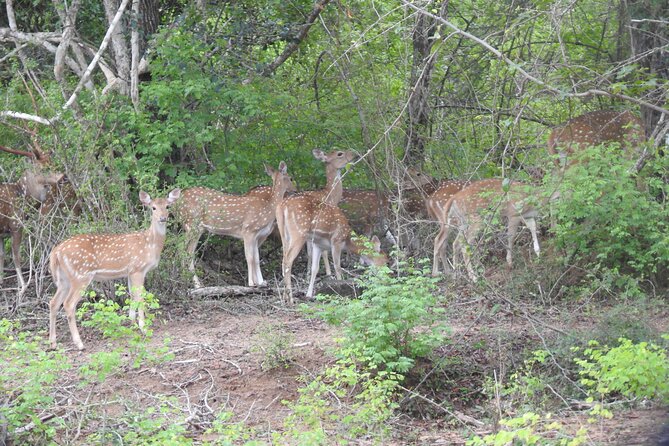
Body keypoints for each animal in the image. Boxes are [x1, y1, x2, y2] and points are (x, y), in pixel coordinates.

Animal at [0, 145, 64, 294]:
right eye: (43, 168)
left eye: (51, 161)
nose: (63, 177)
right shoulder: (16, 224)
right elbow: (16, 255)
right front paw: (23, 287)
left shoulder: (2, 233)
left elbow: (2, 255)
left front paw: (3, 282)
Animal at [48, 186, 181, 350]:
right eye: (153, 207)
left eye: (168, 206)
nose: (163, 218)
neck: (150, 244)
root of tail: (56, 252)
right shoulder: (138, 269)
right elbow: (140, 297)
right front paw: (143, 328)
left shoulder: (130, 272)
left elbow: (132, 295)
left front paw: (132, 323)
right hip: (81, 275)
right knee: (68, 304)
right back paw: (79, 343)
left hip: (63, 278)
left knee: (53, 302)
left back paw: (53, 343)